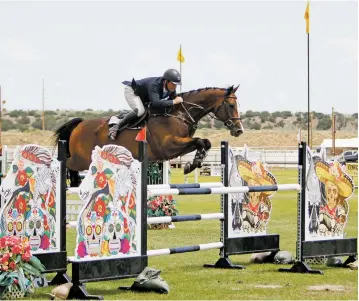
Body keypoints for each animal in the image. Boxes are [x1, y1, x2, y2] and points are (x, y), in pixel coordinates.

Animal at [52, 84, 245, 185]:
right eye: (230, 105)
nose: (239, 130)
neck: (179, 113)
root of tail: (80, 124)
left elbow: (205, 142)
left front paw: (194, 163)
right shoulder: (169, 147)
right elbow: (199, 141)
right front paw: (191, 165)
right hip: (81, 159)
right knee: (67, 164)